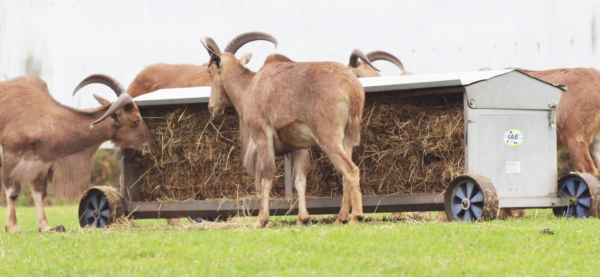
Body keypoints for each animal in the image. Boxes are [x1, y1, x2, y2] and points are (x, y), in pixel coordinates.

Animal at [0, 74, 152, 232]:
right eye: (136, 120)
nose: (148, 147)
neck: (44, 117)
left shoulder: (39, 165)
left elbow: (39, 193)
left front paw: (45, 227)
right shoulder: (11, 157)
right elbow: (13, 192)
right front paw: (12, 227)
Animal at [204, 35, 368, 227]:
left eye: (209, 71)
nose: (212, 107)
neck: (250, 87)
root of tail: (353, 88)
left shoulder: (262, 135)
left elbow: (267, 176)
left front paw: (260, 220)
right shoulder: (300, 148)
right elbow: (300, 180)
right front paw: (303, 219)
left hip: (328, 137)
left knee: (351, 171)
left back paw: (356, 217)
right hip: (347, 138)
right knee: (344, 175)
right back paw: (340, 217)